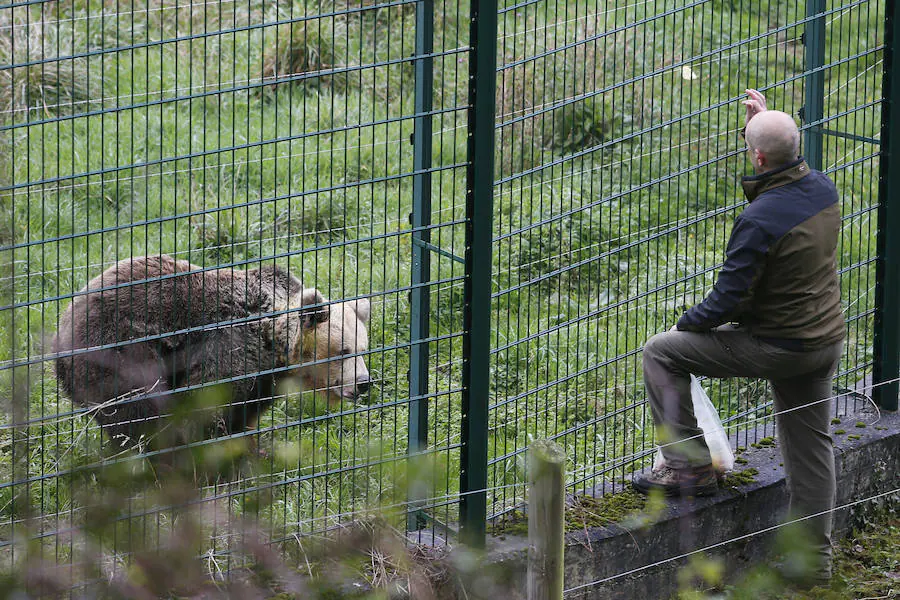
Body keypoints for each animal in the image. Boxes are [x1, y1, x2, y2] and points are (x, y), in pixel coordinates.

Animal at [54, 255, 370, 452]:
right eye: (343, 351)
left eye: (363, 349)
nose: (364, 383)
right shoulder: (229, 350)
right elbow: (205, 410)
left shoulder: (260, 381)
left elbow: (244, 415)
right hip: (121, 349)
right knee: (141, 414)